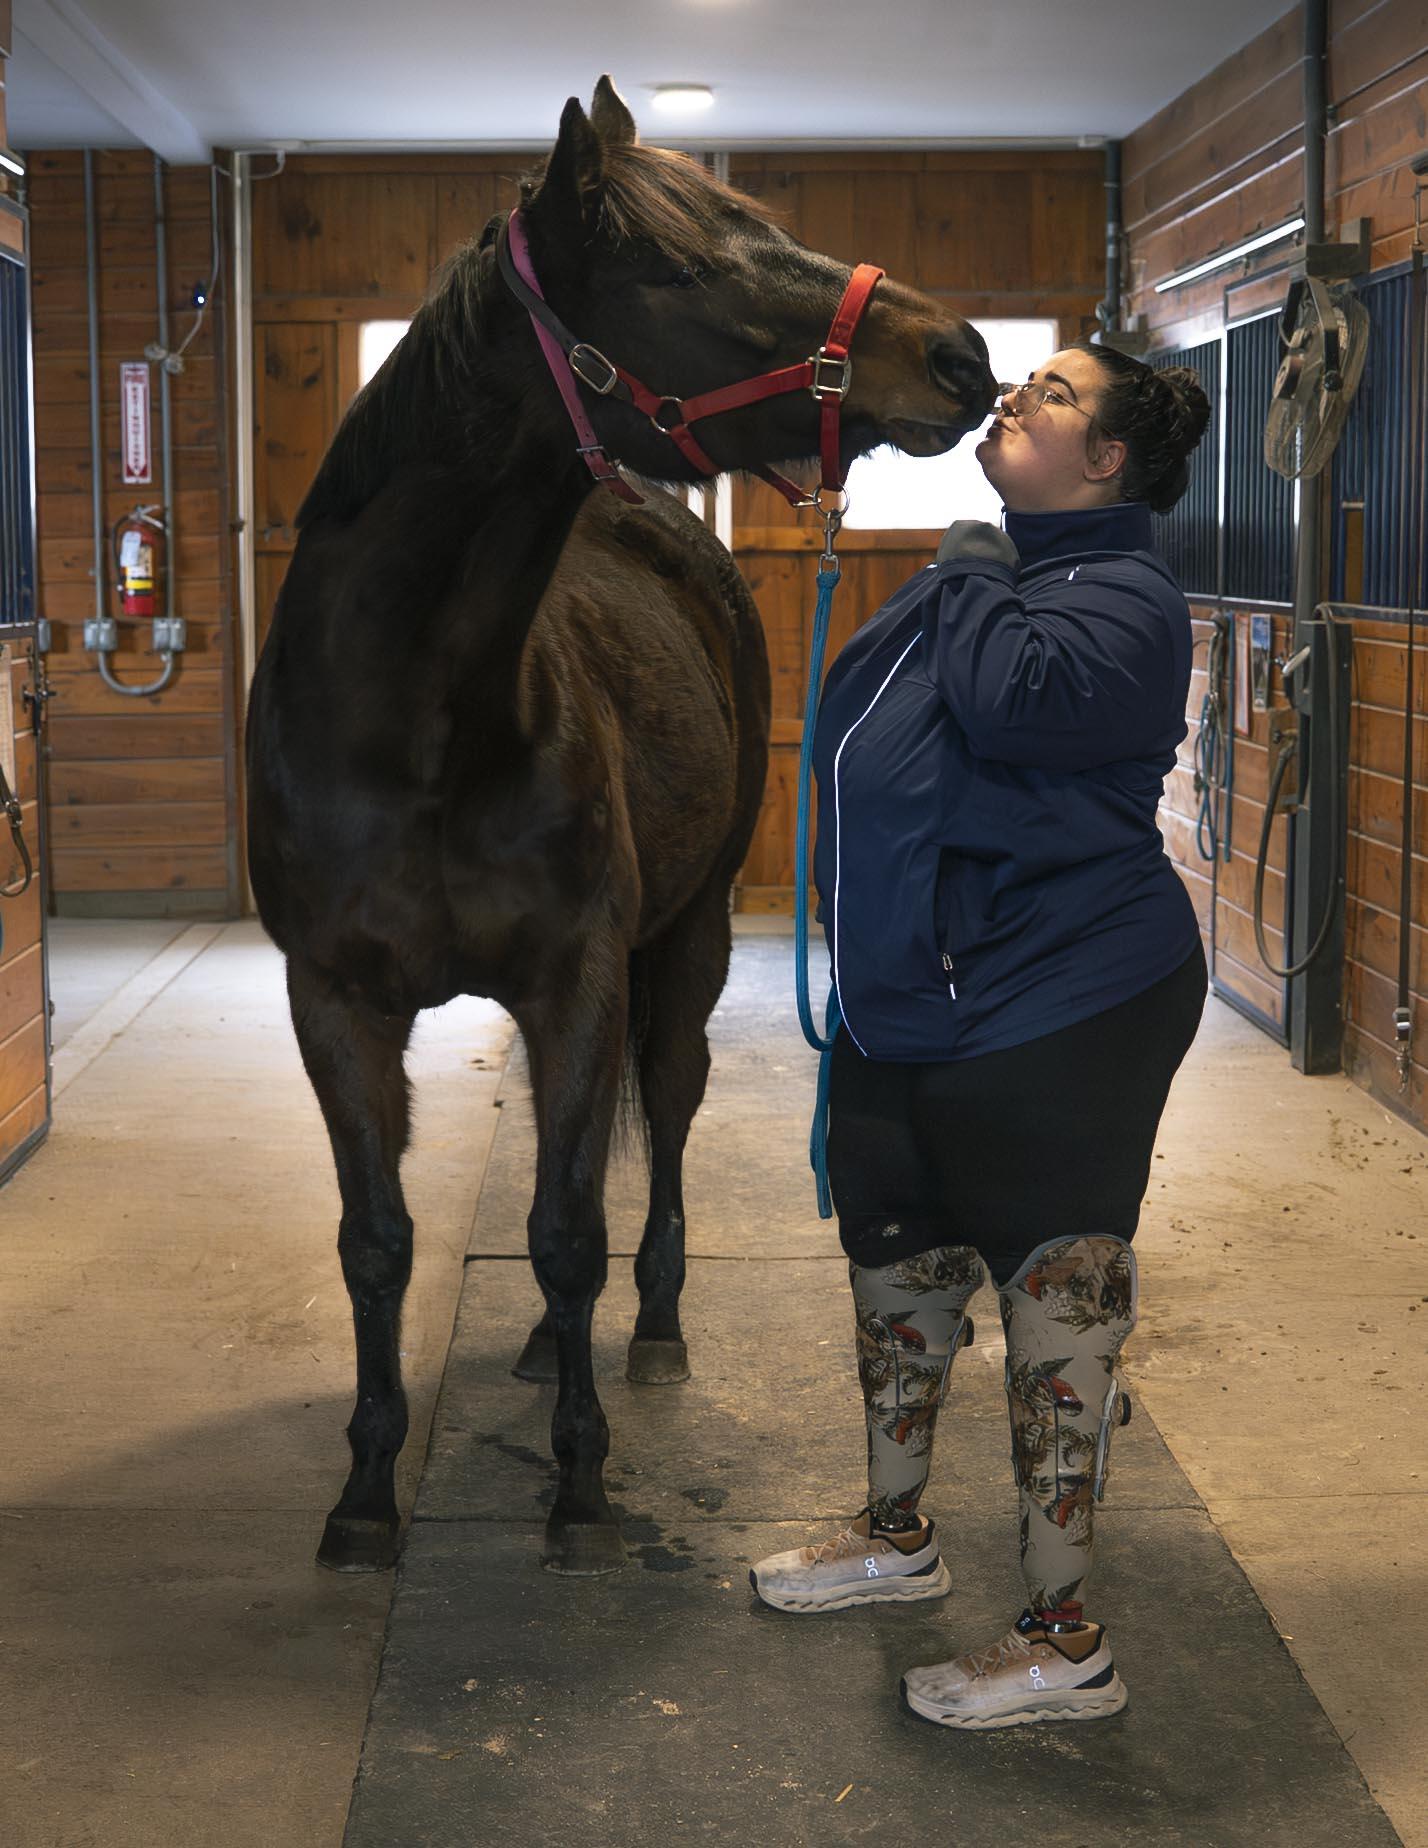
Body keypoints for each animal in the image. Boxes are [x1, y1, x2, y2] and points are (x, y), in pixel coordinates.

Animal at [245, 76, 997, 1577]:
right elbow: (380, 1242)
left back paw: (647, 1330)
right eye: (684, 264)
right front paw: (365, 1493)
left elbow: (570, 1227)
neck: (412, 724)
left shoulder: (580, 978)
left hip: (683, 949)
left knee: (667, 1109)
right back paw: (547, 1348)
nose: (962, 356)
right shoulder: (334, 999)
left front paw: (580, 1486)